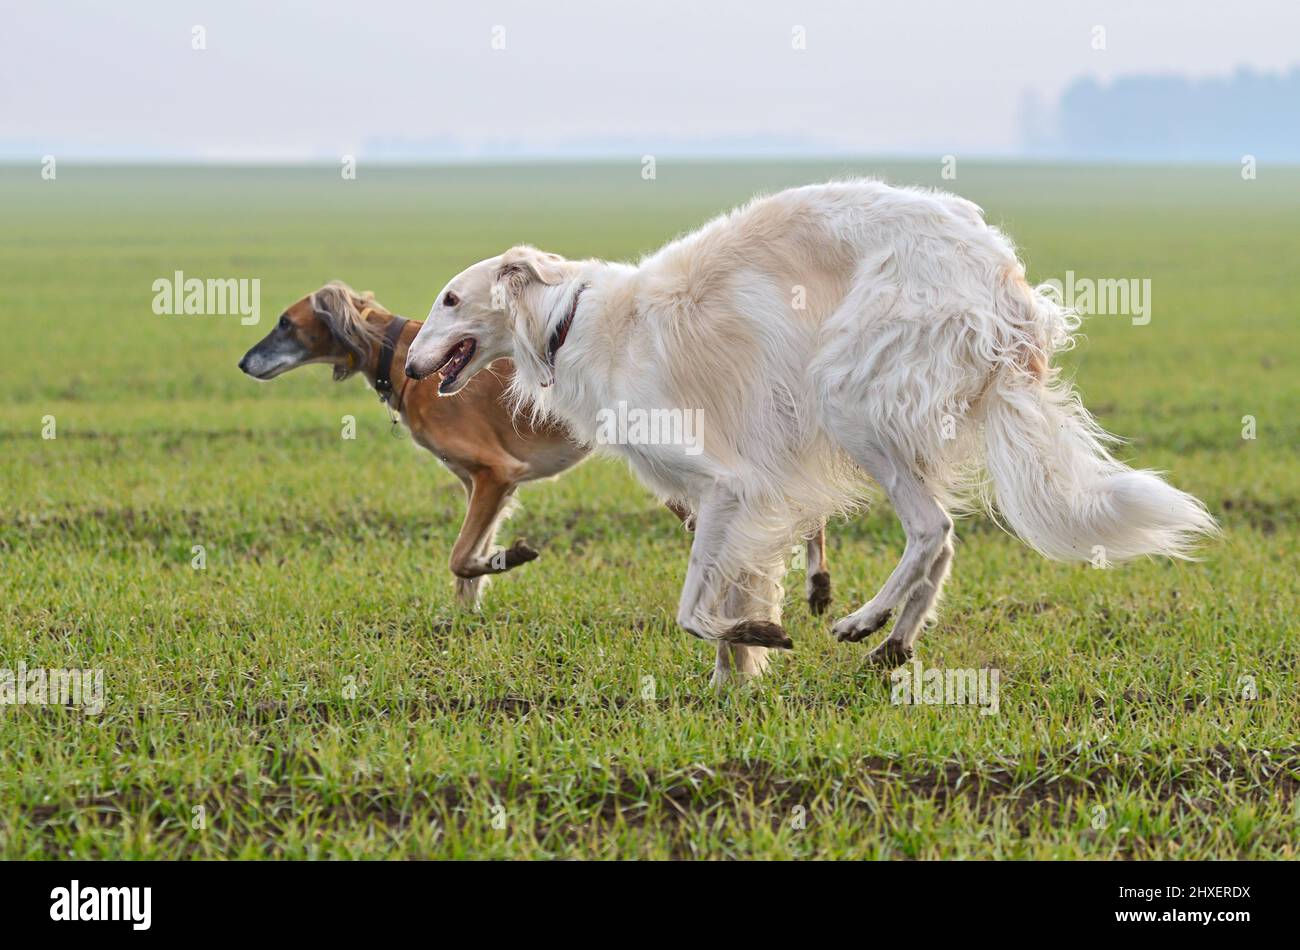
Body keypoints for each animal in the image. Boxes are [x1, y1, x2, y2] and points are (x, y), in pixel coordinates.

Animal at [237, 278, 826, 613]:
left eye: (285, 322)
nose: (243, 363)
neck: (403, 359)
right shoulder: (480, 484)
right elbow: (466, 560)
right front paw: (465, 612)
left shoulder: (496, 473)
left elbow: (460, 557)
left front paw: (507, 559)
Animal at [405, 180, 1216, 686]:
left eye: (449, 298)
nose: (409, 366)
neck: (571, 321)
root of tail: (1001, 273)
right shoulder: (732, 499)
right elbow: (730, 593)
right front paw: (735, 679)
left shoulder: (729, 484)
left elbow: (692, 610)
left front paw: (753, 644)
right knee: (946, 537)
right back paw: (895, 642)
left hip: (848, 397)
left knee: (930, 528)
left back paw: (867, 618)